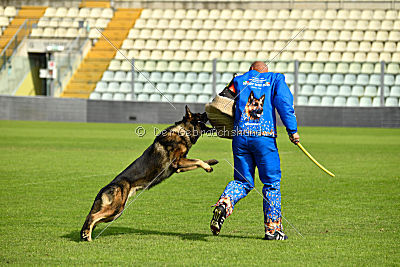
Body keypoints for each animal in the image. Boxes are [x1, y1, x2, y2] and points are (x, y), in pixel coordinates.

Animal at [81, 105, 217, 242]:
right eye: (200, 115)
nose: (208, 111)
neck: (182, 131)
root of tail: (104, 189)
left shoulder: (179, 167)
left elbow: (198, 161)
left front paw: (211, 163)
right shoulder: (177, 162)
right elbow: (198, 160)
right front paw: (207, 167)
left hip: (115, 213)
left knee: (92, 218)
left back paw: (85, 234)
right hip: (116, 209)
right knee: (92, 217)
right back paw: (88, 236)